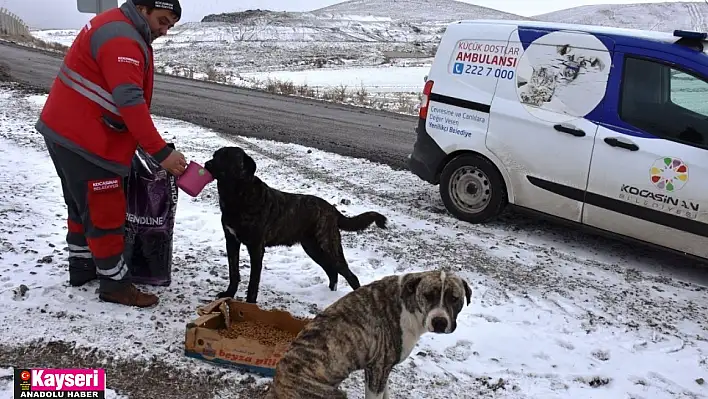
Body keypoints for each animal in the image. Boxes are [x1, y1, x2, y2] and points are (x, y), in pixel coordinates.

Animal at [202, 147, 390, 304]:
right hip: (313, 248)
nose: (207, 164)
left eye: (227, 156)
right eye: (215, 155)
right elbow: (233, 272)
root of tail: (331, 209)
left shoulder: (256, 248)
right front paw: (229, 294)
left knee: (350, 276)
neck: (237, 195)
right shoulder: (231, 241)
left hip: (329, 247)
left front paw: (249, 304)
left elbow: (253, 283)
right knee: (332, 272)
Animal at [268, 268, 472, 399]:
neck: (408, 304)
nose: (439, 322)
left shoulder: (382, 369)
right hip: (334, 394)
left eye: (454, 298)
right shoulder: (378, 369)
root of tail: (277, 387)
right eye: (428, 295)